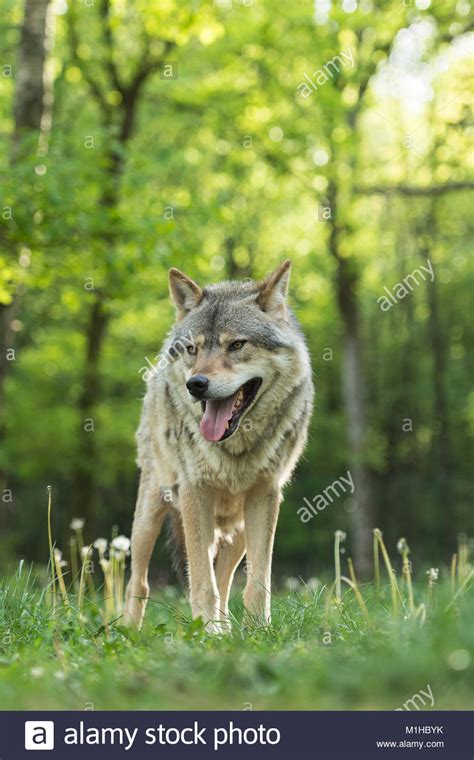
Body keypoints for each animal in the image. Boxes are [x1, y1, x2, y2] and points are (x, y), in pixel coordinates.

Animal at [124, 260, 312, 628]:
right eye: (192, 349)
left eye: (236, 345)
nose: (196, 384)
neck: (235, 447)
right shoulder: (195, 493)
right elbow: (201, 582)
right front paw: (205, 631)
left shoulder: (265, 495)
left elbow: (257, 582)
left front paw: (258, 630)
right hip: (151, 514)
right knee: (138, 582)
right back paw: (126, 630)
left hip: (236, 528)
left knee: (225, 582)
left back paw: (226, 629)